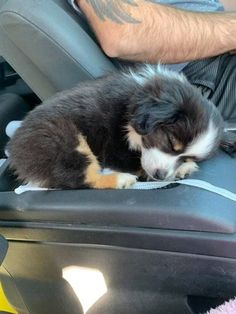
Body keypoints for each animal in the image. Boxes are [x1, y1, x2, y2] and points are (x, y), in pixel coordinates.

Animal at [6, 64, 223, 188]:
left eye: (186, 155)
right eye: (170, 141)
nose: (160, 176)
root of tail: (15, 155)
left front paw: (182, 167)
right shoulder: (114, 146)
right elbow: (136, 163)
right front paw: (179, 170)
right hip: (64, 140)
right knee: (79, 177)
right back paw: (120, 180)